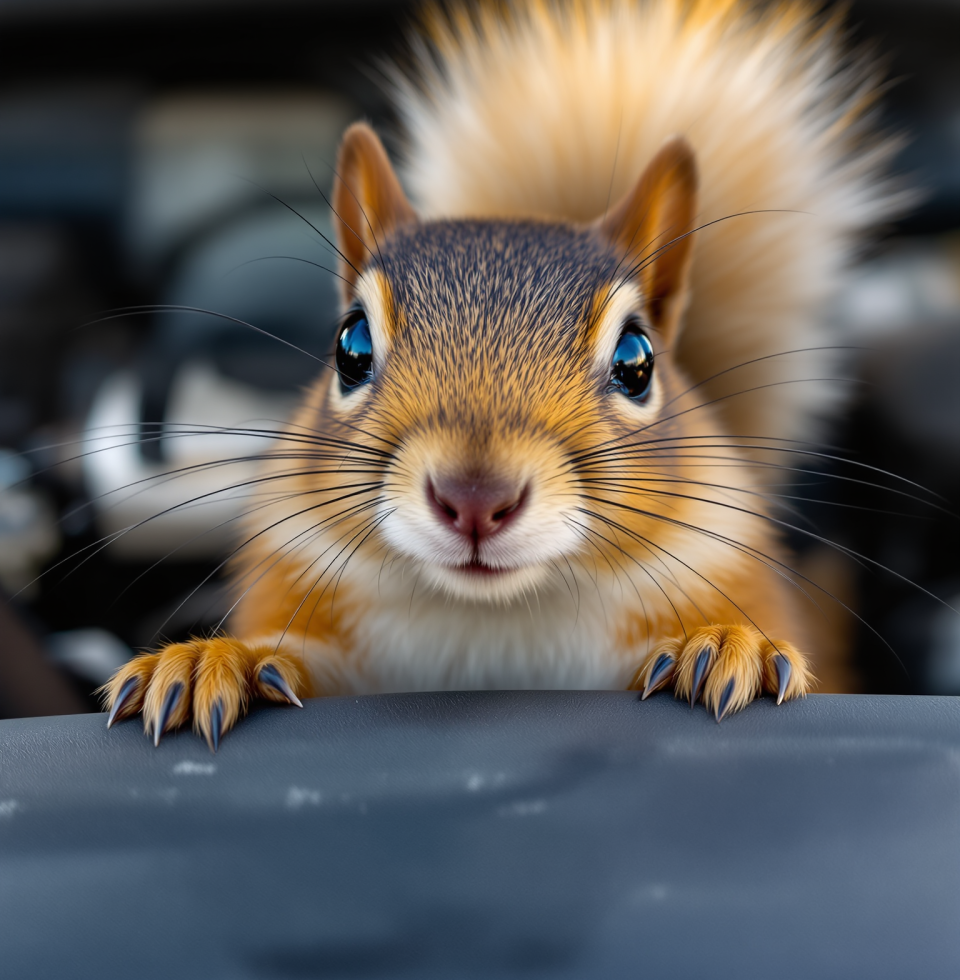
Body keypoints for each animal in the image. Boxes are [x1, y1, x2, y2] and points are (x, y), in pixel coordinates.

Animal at [102, 0, 902, 749]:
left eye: (637, 361)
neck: (496, 618)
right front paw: (216, 661)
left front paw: (728, 646)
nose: (475, 499)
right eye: (350, 347)